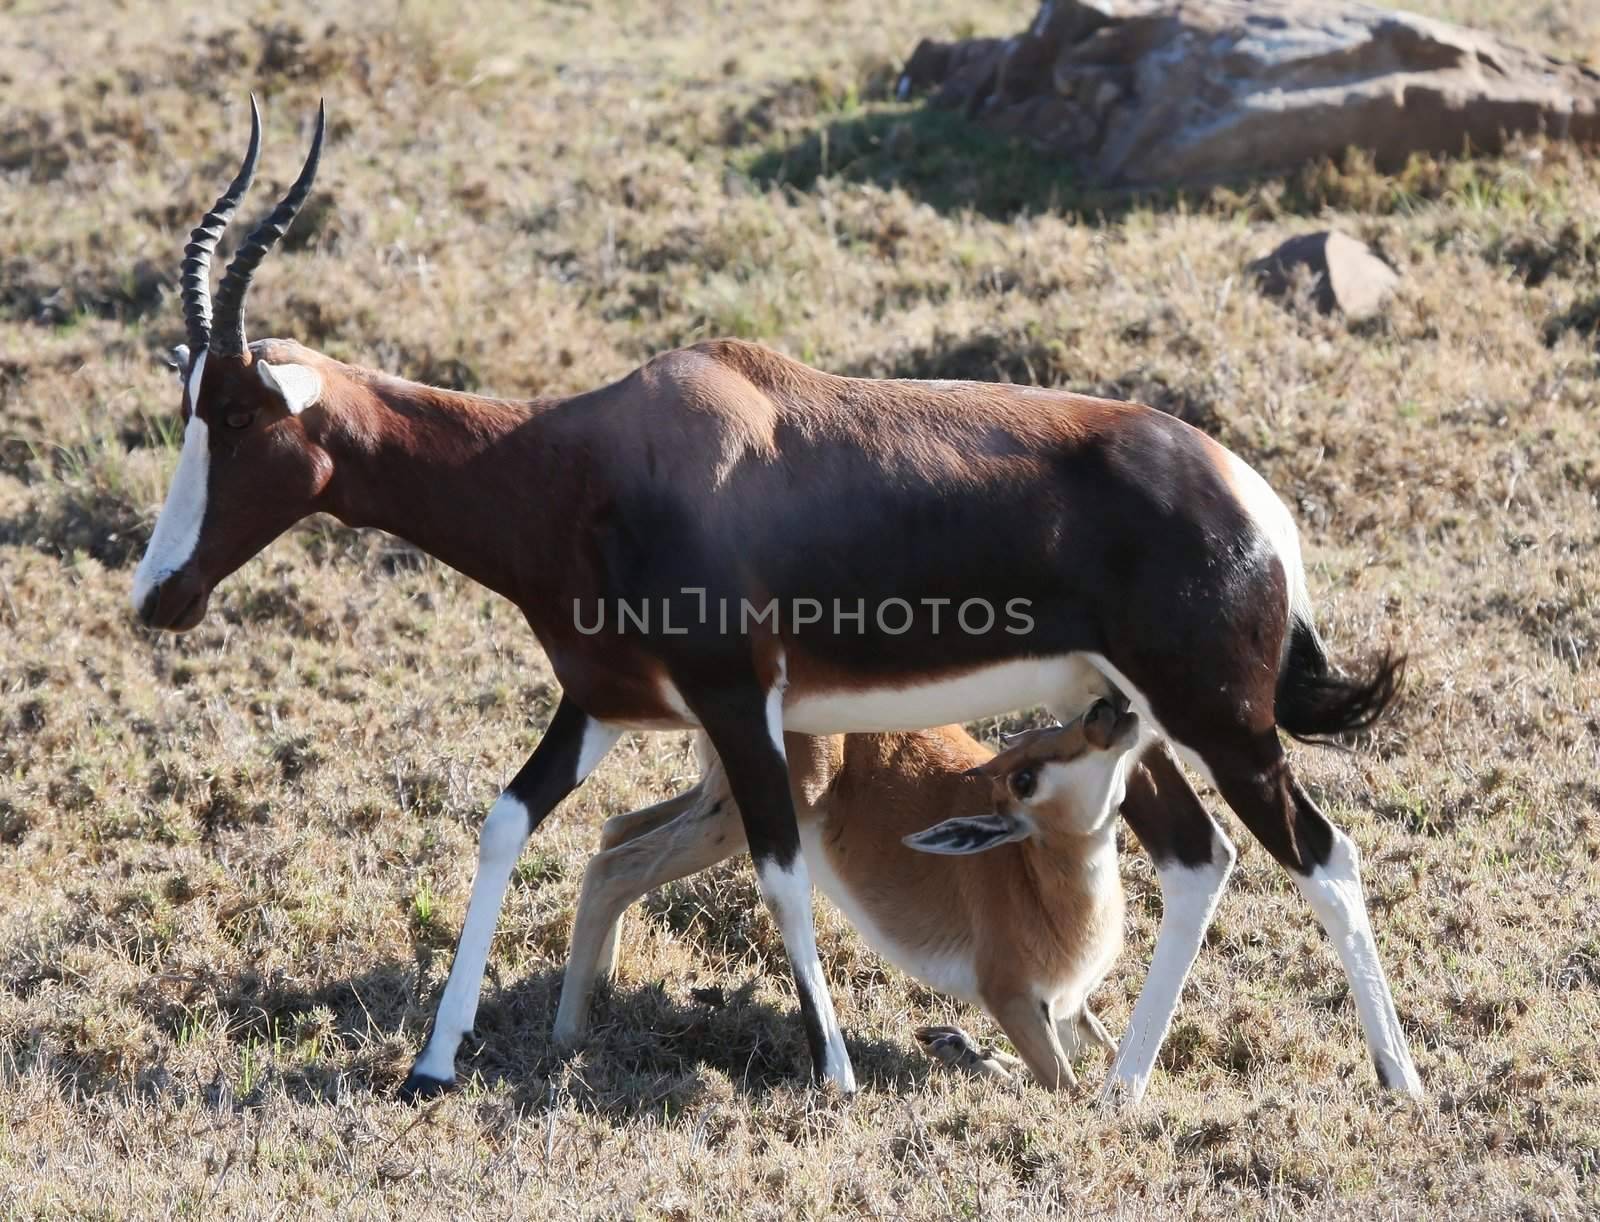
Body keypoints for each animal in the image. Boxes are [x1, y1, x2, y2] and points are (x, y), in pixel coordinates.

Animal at [556, 700, 1145, 1094]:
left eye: (1055, 727)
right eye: (1024, 777)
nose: (1105, 712)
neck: (1039, 883)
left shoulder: (1071, 1008)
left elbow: (1114, 1058)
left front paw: (955, 1043)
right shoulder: (1014, 1000)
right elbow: (1065, 1088)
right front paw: (957, 1048)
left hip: (713, 803)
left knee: (616, 830)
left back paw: (601, 988)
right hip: (738, 822)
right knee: (614, 868)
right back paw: (569, 1033)